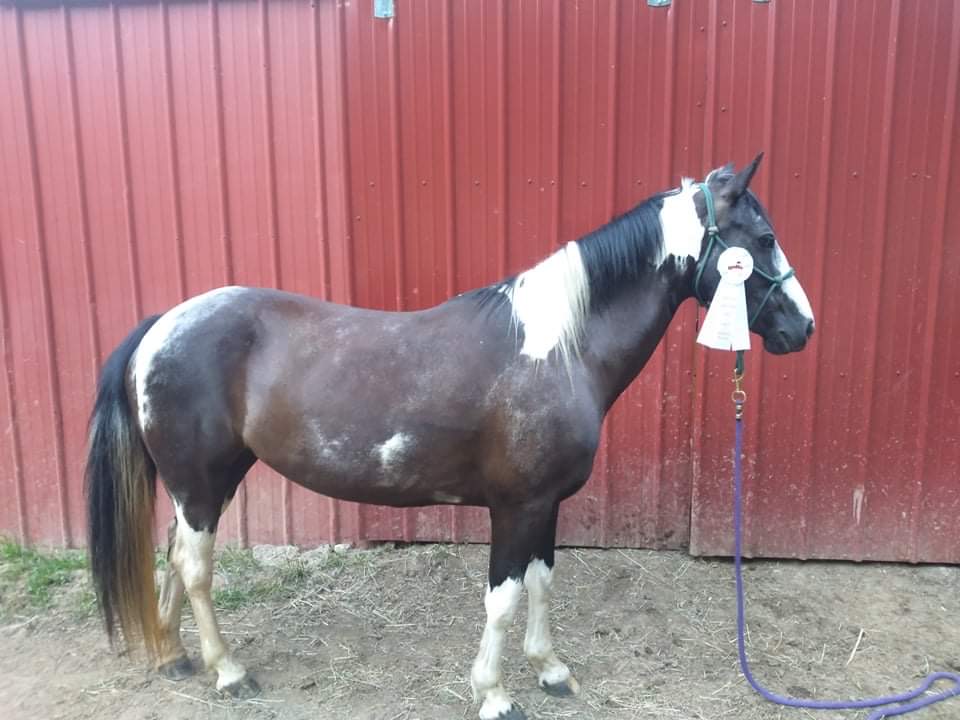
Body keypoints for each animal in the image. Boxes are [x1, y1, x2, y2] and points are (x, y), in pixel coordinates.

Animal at [85, 153, 814, 720]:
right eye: (763, 237)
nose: (802, 328)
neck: (558, 348)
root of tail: (163, 323)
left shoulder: (545, 505)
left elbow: (542, 583)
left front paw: (551, 670)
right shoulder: (516, 507)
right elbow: (504, 598)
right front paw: (494, 693)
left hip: (205, 481)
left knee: (172, 554)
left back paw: (174, 656)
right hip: (200, 482)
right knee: (195, 566)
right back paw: (228, 670)